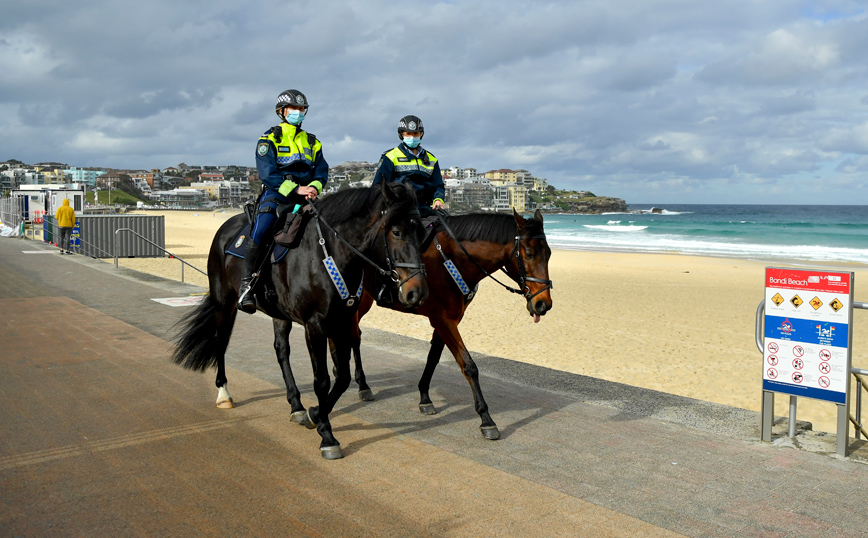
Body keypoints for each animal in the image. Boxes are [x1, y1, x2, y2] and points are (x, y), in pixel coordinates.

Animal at [170, 182, 428, 458]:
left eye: (422, 232)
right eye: (397, 232)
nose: (417, 292)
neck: (328, 253)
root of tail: (226, 228)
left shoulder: (342, 321)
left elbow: (342, 377)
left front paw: (315, 413)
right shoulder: (315, 325)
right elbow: (322, 380)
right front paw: (327, 435)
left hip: (279, 315)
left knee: (281, 351)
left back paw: (296, 405)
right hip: (224, 301)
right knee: (220, 341)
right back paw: (223, 393)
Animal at [350, 207, 552, 438]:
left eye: (549, 254)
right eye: (529, 253)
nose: (543, 304)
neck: (451, 259)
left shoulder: (448, 319)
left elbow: (433, 358)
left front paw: (424, 397)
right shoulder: (443, 320)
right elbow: (468, 365)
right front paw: (486, 418)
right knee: (353, 336)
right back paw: (362, 384)